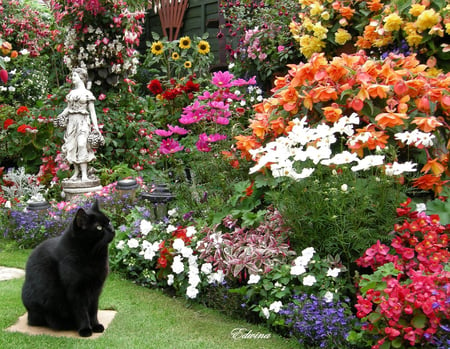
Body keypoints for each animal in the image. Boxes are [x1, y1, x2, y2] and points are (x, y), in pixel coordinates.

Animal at [22, 200, 115, 336]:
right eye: (99, 227)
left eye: (109, 221)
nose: (112, 229)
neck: (93, 256)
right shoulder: (76, 291)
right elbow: (82, 311)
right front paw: (85, 329)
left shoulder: (96, 289)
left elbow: (93, 310)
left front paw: (96, 326)